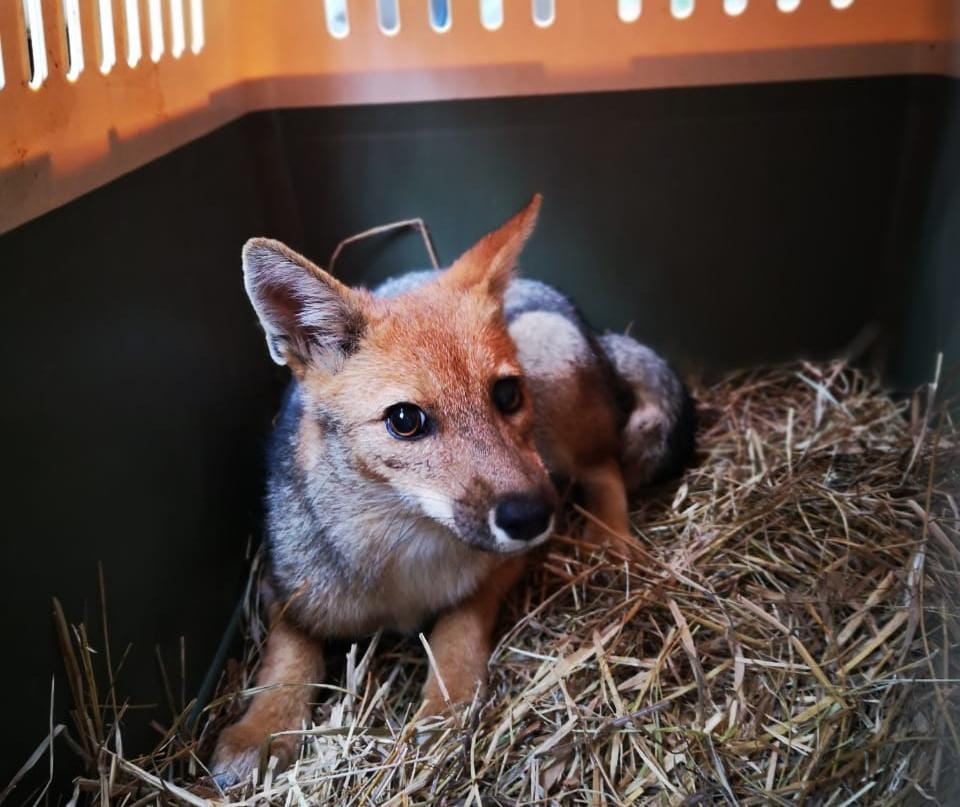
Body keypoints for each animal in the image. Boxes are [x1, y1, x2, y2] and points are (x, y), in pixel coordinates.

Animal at [210, 195, 695, 785]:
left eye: (506, 394)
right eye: (405, 420)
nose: (532, 516)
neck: (404, 558)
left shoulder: (502, 563)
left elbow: (458, 624)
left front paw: (447, 699)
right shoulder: (282, 588)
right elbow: (286, 658)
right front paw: (262, 728)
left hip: (551, 380)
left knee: (606, 469)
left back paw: (611, 542)